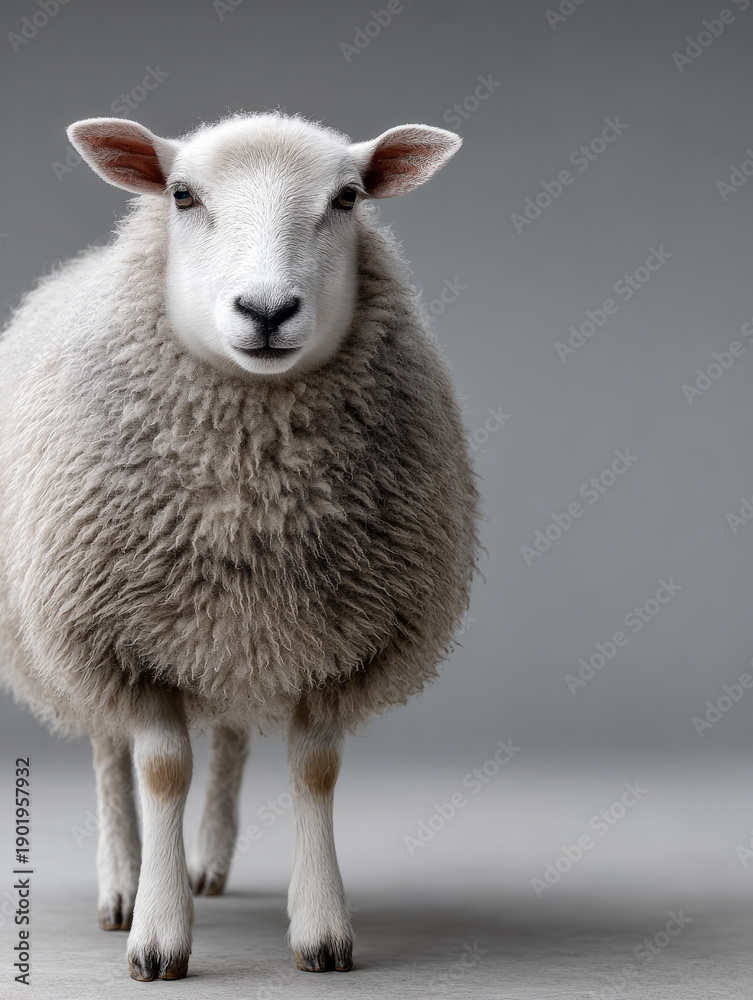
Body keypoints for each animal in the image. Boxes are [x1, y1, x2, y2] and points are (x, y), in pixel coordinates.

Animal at [0, 111, 480, 981]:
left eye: (348, 197)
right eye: (183, 195)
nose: (265, 309)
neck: (249, 504)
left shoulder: (339, 640)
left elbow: (313, 769)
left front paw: (320, 927)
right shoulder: (118, 639)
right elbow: (159, 770)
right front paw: (158, 934)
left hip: (236, 629)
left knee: (225, 737)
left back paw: (210, 865)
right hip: (68, 625)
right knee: (108, 753)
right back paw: (122, 884)